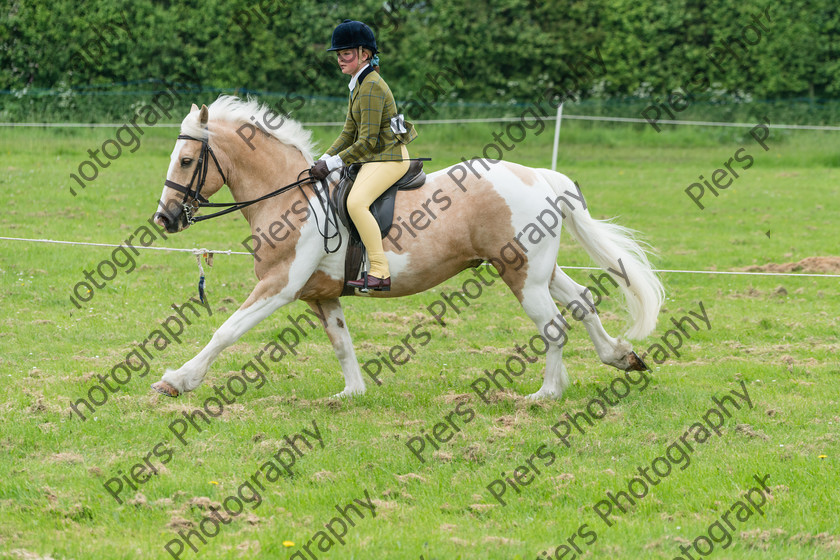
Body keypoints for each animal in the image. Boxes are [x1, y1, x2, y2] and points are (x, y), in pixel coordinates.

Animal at [149, 97, 664, 402]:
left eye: (188, 160)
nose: (165, 219)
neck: (289, 197)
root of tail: (543, 177)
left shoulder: (279, 285)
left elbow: (227, 331)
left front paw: (178, 380)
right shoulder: (321, 294)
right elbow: (341, 343)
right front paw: (351, 393)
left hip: (522, 275)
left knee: (554, 325)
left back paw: (546, 395)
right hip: (538, 270)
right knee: (582, 301)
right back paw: (620, 357)